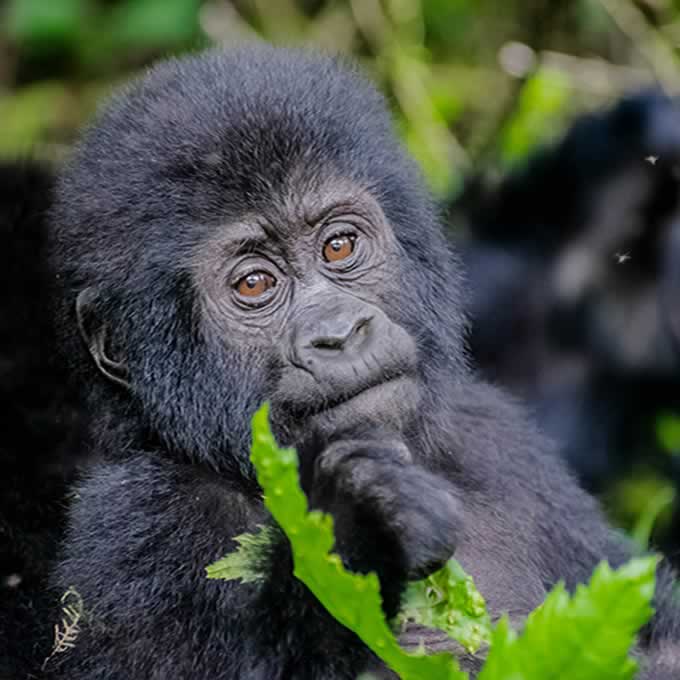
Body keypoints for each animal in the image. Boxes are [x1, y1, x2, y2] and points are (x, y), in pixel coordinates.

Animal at [42, 45, 680, 676]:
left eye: (339, 245)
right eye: (253, 284)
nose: (340, 333)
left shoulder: (501, 440)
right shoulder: (142, 520)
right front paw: (355, 528)